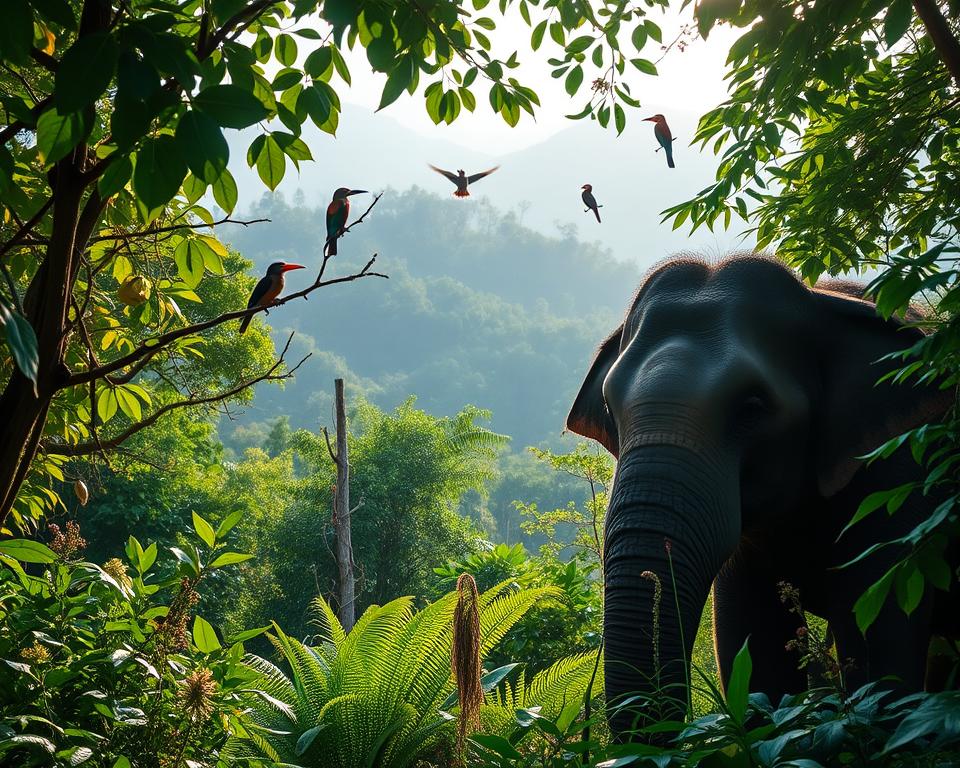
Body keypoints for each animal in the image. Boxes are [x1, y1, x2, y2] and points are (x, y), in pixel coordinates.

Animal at [566, 255, 958, 734]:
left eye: (752, 406)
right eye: (609, 405)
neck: (819, 300)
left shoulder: (897, 475)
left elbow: (880, 649)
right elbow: (755, 648)